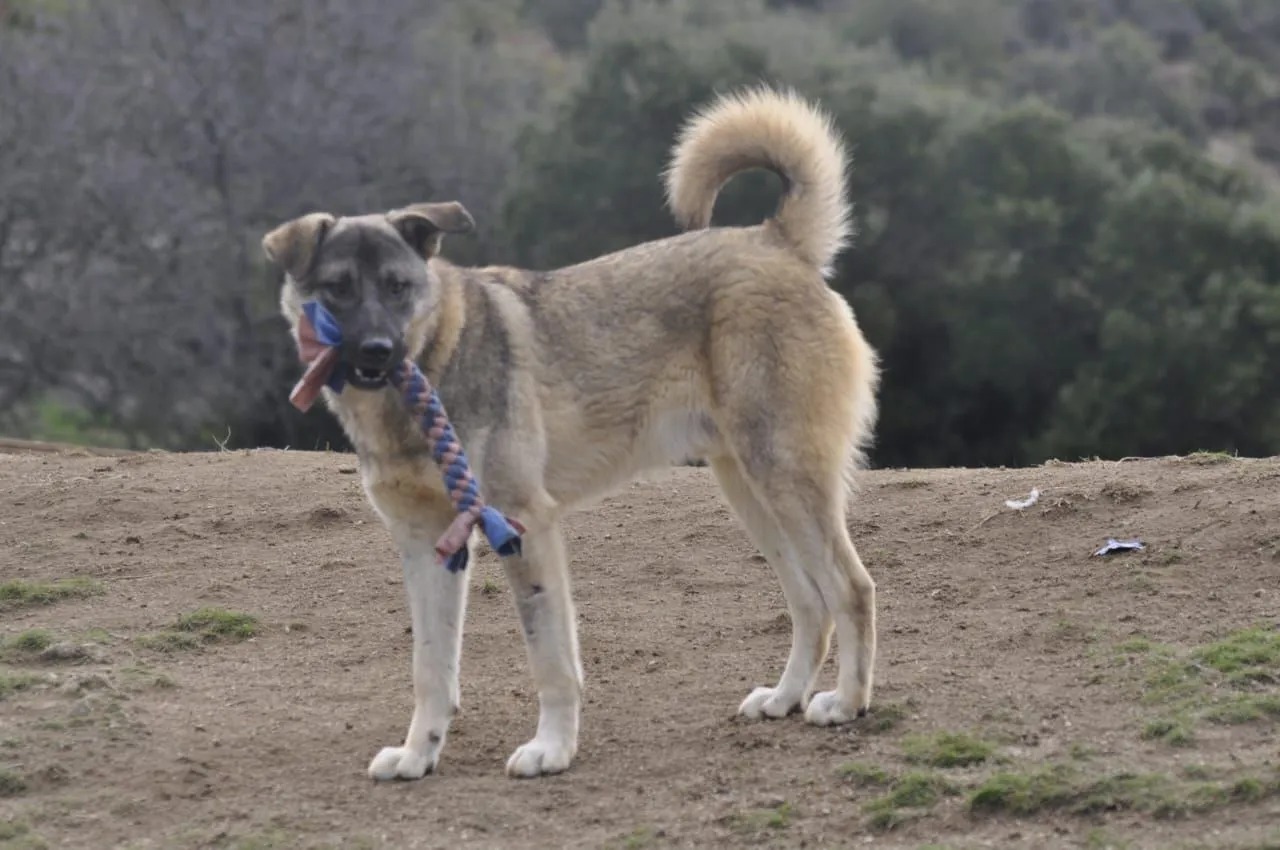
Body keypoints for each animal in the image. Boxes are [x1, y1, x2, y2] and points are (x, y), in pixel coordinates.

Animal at [261, 86, 880, 780]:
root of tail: (776, 241)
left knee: (851, 589)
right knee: (810, 602)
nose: (377, 352)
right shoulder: (426, 547)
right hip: (752, 493)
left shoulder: (524, 526)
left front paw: (552, 749)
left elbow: (551, 662)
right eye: (338, 289)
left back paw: (847, 702)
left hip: (786, 481)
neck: (438, 356)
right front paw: (419, 753)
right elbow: (431, 670)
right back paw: (785, 697)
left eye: (398, 288)